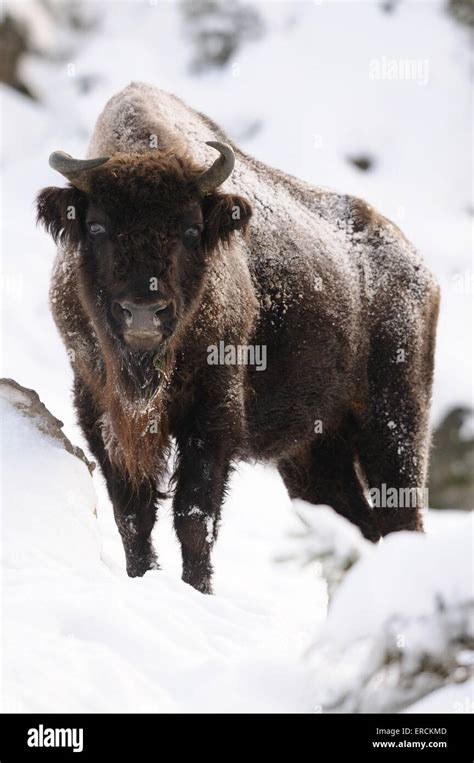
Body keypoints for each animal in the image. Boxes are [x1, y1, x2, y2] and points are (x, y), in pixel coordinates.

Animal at [37, 85, 440, 596]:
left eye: (191, 229)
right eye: (97, 226)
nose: (144, 312)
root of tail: (419, 268)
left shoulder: (213, 414)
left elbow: (194, 516)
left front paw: (197, 592)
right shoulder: (99, 409)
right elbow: (133, 516)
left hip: (394, 425)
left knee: (401, 523)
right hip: (313, 453)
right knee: (358, 530)